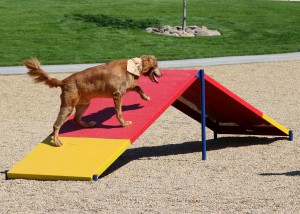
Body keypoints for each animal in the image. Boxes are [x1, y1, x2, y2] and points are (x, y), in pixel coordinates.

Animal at [23, 55, 162, 146]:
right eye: (156, 66)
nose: (161, 75)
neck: (133, 66)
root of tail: (64, 81)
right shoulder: (117, 94)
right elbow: (119, 112)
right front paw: (123, 123)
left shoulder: (126, 88)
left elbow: (138, 87)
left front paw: (145, 97)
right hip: (68, 107)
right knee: (56, 125)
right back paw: (56, 141)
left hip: (84, 104)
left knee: (76, 119)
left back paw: (89, 124)